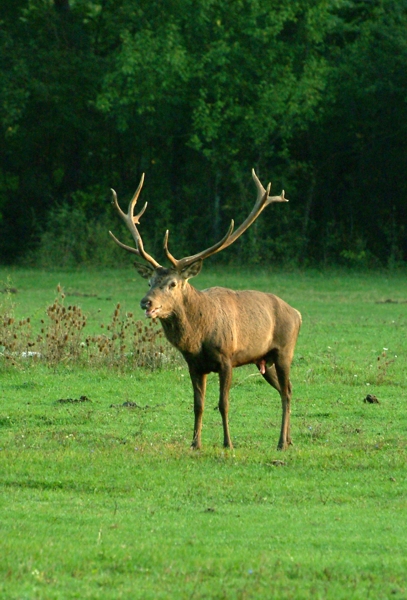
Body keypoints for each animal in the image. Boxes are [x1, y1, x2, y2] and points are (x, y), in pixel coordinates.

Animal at [110, 169, 302, 450]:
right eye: (149, 282)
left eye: (172, 284)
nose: (146, 302)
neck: (198, 338)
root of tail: (297, 314)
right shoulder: (194, 365)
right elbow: (197, 405)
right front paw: (195, 444)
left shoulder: (227, 359)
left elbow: (223, 404)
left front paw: (228, 443)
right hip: (263, 360)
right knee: (286, 389)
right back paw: (288, 440)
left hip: (284, 351)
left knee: (287, 391)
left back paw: (280, 443)